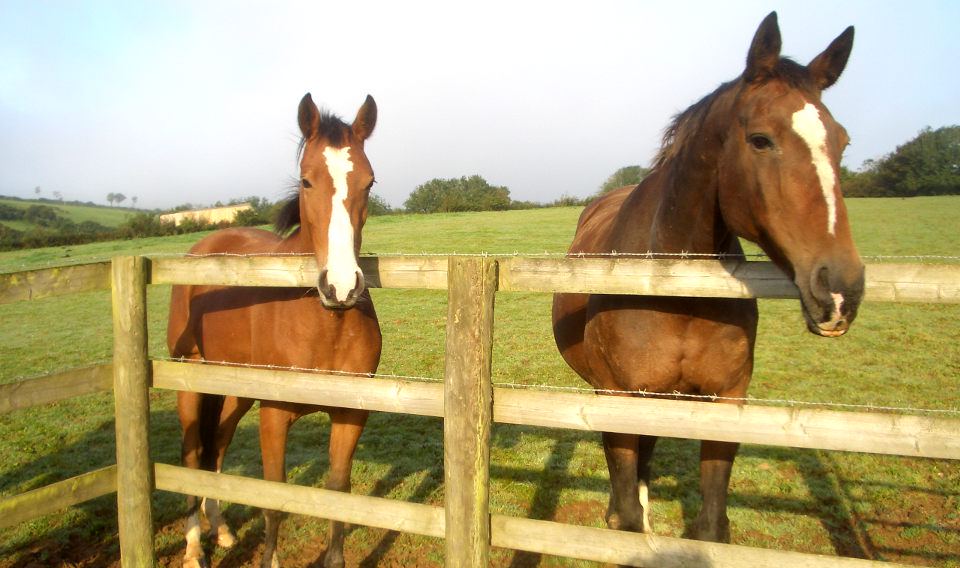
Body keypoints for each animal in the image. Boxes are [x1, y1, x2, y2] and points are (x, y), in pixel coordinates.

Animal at [167, 93, 380, 568]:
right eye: (306, 181)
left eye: (370, 182)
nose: (341, 287)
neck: (324, 324)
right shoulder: (274, 414)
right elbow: (274, 498)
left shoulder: (350, 413)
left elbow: (338, 491)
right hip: (192, 379)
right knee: (192, 456)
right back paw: (193, 548)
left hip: (236, 391)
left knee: (217, 447)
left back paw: (222, 531)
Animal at [552, 12, 865, 544]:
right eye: (760, 139)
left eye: (842, 141)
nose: (841, 289)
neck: (675, 291)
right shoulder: (619, 396)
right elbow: (627, 513)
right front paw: (623, 516)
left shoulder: (726, 400)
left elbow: (712, 526)